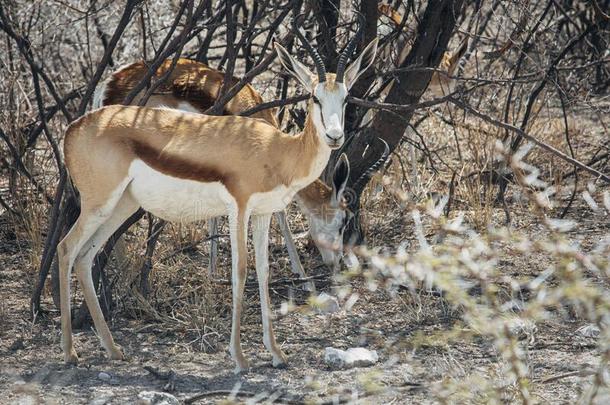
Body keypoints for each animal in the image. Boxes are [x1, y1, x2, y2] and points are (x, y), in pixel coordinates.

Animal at [92, 59, 354, 284]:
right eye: (343, 222)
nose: (337, 264)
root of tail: (110, 83)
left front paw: (212, 272)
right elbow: (279, 213)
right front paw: (300, 272)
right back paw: (122, 277)